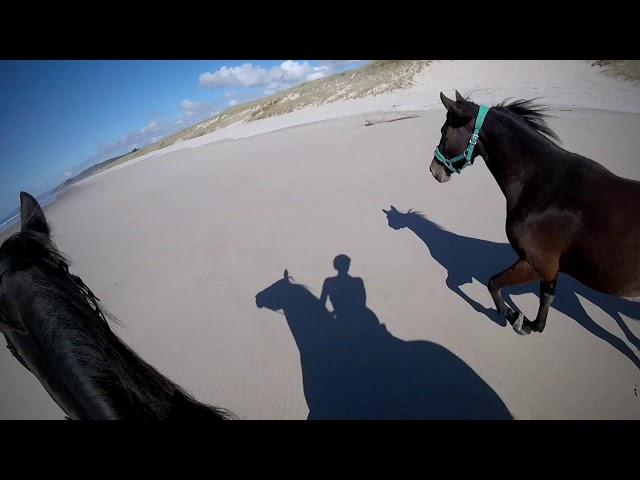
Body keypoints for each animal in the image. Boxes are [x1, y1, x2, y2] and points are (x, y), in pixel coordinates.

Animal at [428, 92, 640, 336]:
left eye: (444, 132)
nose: (433, 170)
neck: (543, 186)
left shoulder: (535, 264)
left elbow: (492, 283)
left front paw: (513, 316)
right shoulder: (550, 269)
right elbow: (545, 300)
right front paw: (529, 324)